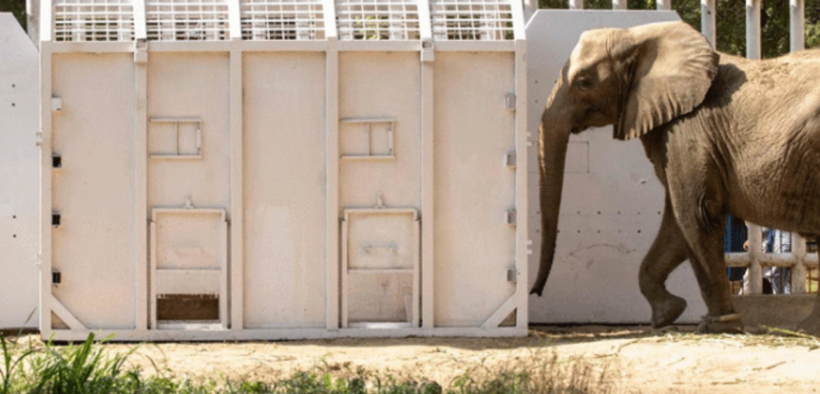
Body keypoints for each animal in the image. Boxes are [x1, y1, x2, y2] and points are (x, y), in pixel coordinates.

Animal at [528, 20, 820, 334]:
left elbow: (695, 213)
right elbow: (676, 227)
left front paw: (717, 325)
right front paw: (668, 313)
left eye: (584, 82)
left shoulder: (689, 131)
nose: (535, 291)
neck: (638, 36)